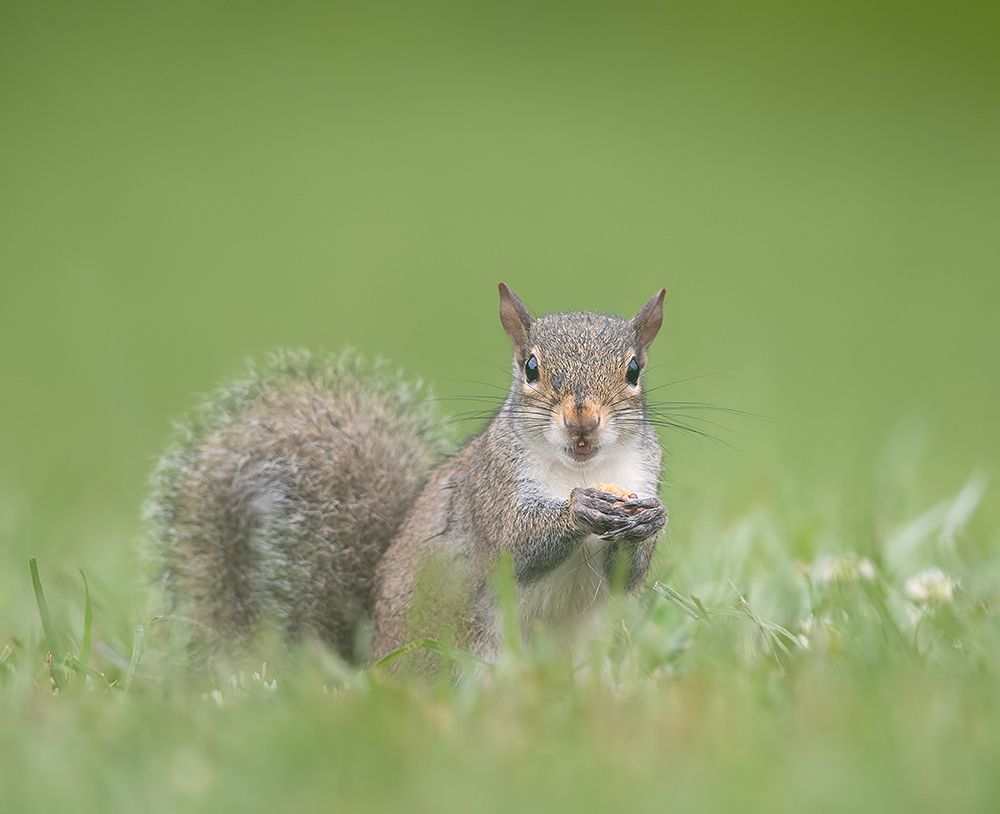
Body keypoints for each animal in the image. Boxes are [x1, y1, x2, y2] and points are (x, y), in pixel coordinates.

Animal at [146, 284, 667, 668]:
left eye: (634, 370)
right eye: (531, 367)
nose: (583, 420)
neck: (580, 468)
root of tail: (368, 665)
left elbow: (626, 575)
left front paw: (651, 520)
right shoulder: (490, 486)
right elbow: (512, 546)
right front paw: (581, 508)